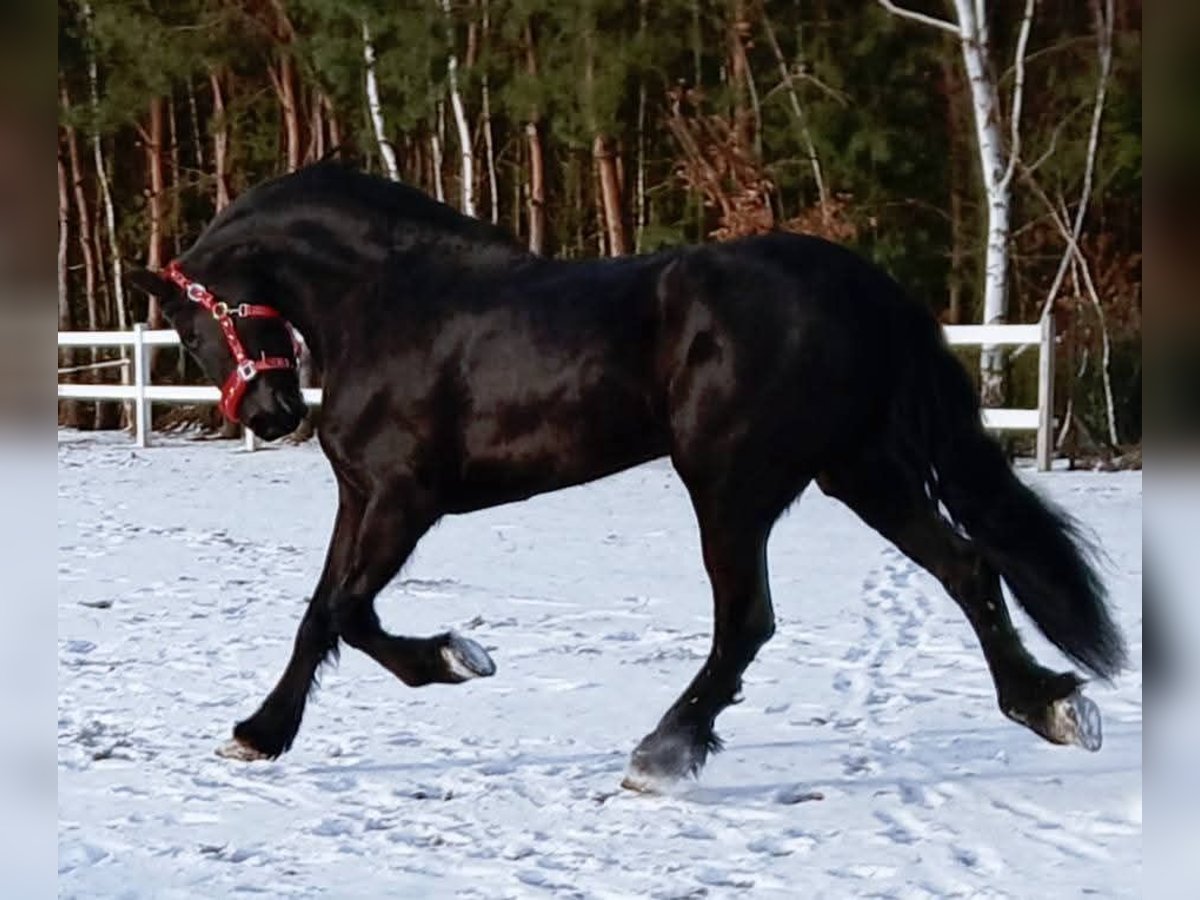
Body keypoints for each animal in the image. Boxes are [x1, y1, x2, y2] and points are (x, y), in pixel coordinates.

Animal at [131, 164, 1123, 796]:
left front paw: (455, 659)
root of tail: (859, 284)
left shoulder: (407, 499)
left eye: (186, 321)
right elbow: (321, 614)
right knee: (968, 568)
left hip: (731, 480)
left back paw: (663, 752)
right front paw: (260, 733)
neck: (393, 299)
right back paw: (1047, 705)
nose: (271, 414)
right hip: (861, 470)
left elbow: (346, 611)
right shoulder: (361, 496)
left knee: (747, 621)